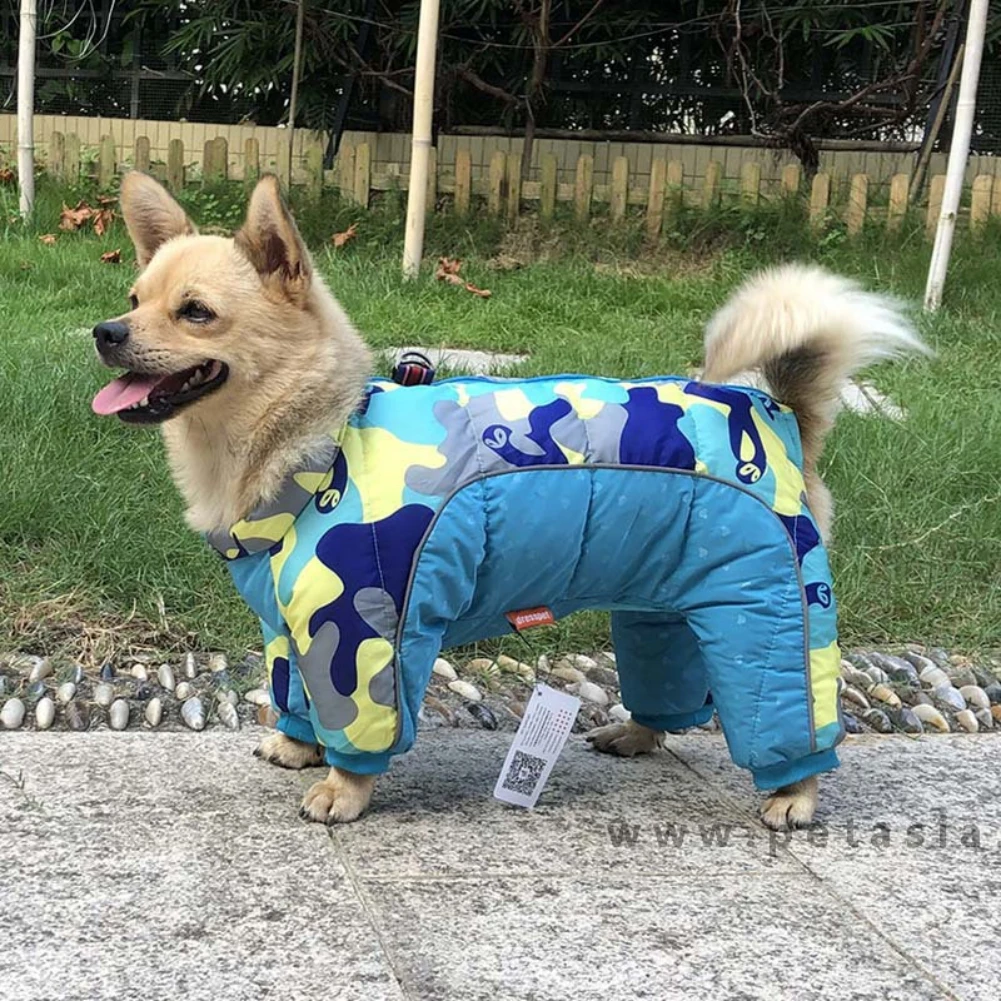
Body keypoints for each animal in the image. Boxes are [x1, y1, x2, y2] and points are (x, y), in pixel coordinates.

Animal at [94, 172, 928, 828]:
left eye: (195, 311)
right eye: (133, 298)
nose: (105, 330)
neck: (326, 438)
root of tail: (776, 409)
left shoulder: (372, 630)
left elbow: (362, 726)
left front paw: (342, 788)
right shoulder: (291, 624)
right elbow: (292, 688)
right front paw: (299, 745)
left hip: (768, 602)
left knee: (784, 700)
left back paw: (794, 791)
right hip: (671, 598)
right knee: (672, 678)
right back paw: (639, 733)